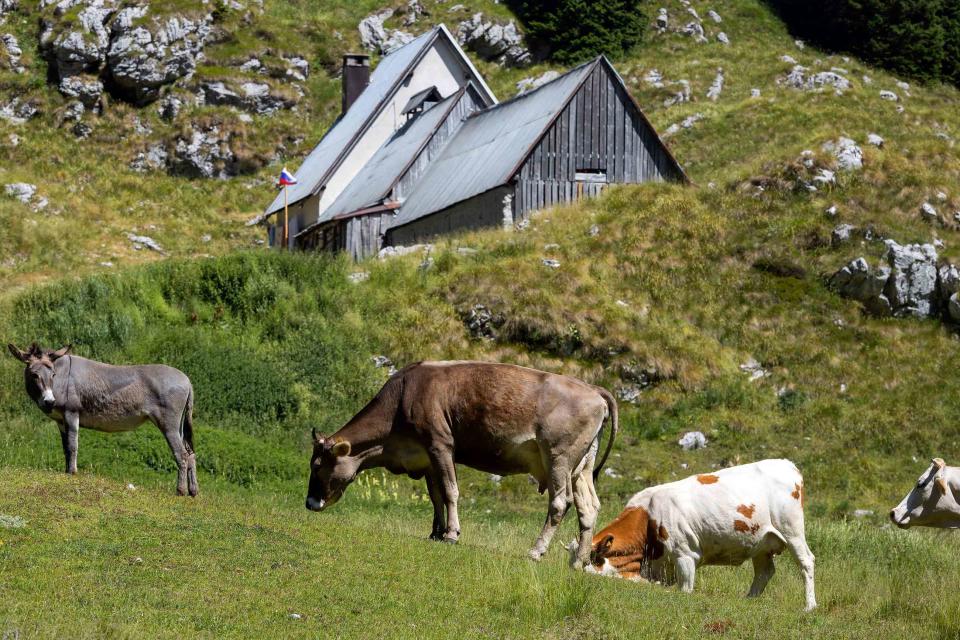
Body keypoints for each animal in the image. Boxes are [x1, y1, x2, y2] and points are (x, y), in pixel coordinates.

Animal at [6, 342, 199, 498]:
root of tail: (188, 380)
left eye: (52, 374)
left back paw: (180, 491)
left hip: (168, 424)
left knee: (181, 454)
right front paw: (67, 472)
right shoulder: (60, 421)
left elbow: (73, 446)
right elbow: (66, 448)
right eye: (34, 375)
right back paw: (193, 492)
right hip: (179, 425)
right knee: (190, 454)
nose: (49, 401)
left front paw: (73, 473)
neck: (62, 376)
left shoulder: (71, 413)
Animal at [310, 360, 624, 564]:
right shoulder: (425, 456)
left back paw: (536, 551)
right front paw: (436, 532)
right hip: (581, 465)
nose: (310, 503)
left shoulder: (440, 444)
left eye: (317, 465)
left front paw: (451, 534)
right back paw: (579, 561)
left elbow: (450, 491)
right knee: (588, 507)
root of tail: (593, 389)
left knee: (560, 502)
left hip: (558, 456)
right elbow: (435, 495)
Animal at [580, 458, 812, 612]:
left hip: (791, 530)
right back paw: (749, 600)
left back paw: (809, 606)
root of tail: (787, 464)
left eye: (590, 561)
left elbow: (685, 590)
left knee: (806, 562)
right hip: (761, 543)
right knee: (765, 572)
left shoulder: (685, 555)